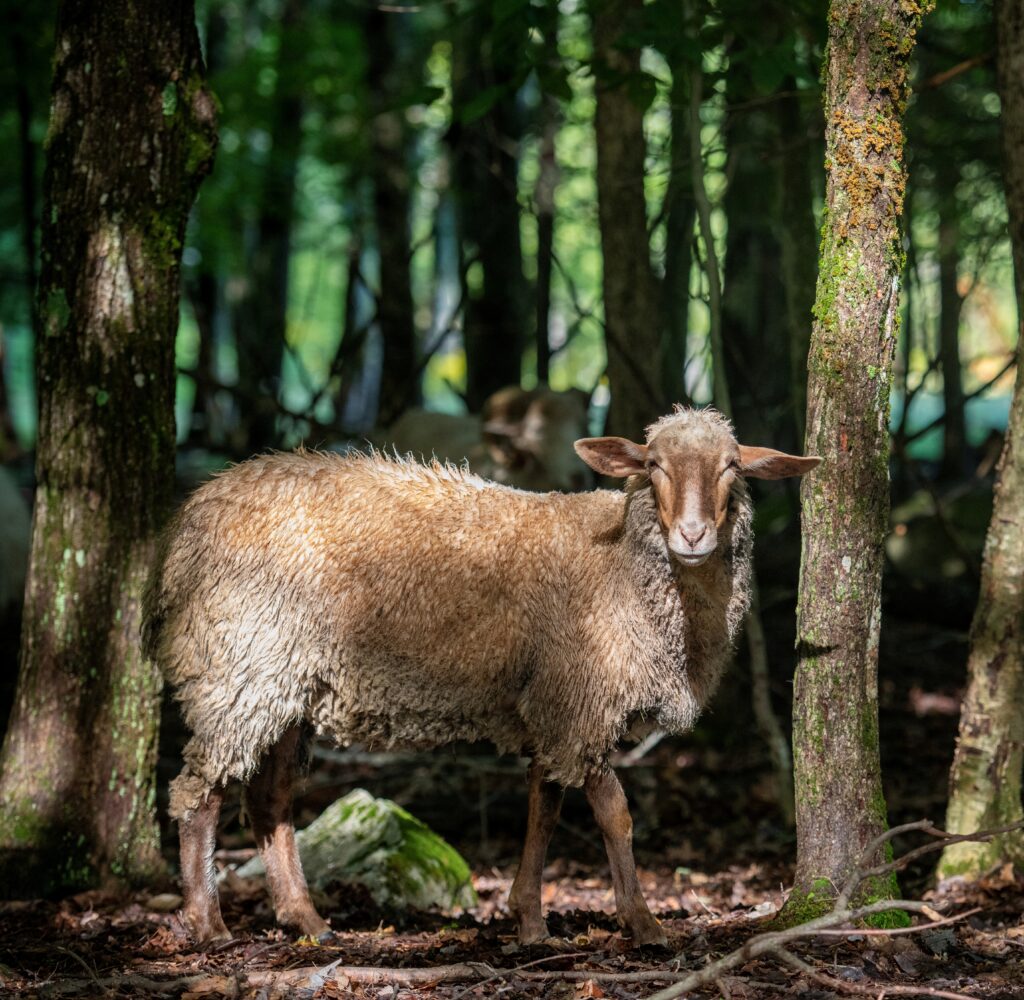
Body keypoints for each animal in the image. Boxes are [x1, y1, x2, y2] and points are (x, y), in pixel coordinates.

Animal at [142, 405, 819, 947]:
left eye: (731, 467)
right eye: (652, 465)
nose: (693, 535)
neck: (621, 568)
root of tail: (189, 519)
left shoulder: (552, 703)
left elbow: (544, 808)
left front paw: (530, 922)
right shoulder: (581, 703)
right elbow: (615, 815)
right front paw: (643, 924)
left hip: (287, 683)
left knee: (271, 801)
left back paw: (306, 920)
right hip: (239, 664)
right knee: (199, 793)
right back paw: (209, 924)